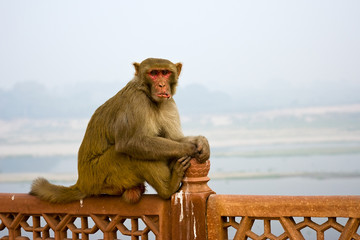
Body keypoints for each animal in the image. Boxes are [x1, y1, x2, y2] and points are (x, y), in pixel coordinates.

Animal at [31, 57, 211, 202]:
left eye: (165, 73)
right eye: (153, 73)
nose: (161, 84)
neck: (147, 94)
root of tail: (82, 182)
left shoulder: (168, 103)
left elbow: (173, 138)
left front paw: (201, 142)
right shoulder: (136, 101)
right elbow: (131, 143)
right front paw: (189, 148)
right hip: (101, 173)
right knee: (136, 153)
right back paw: (168, 189)